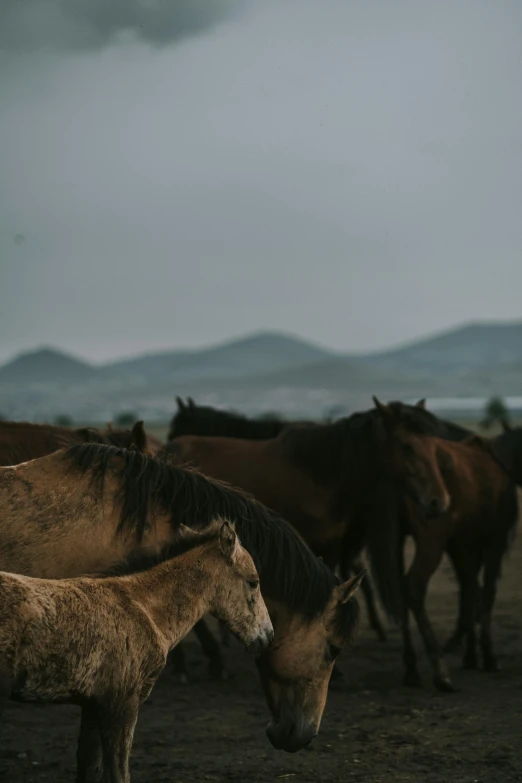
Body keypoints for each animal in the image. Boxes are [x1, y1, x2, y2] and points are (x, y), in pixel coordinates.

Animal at [0, 516, 274, 780]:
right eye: (253, 582)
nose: (268, 636)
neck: (142, 607)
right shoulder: (121, 703)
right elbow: (118, 773)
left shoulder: (91, 705)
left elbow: (89, 769)